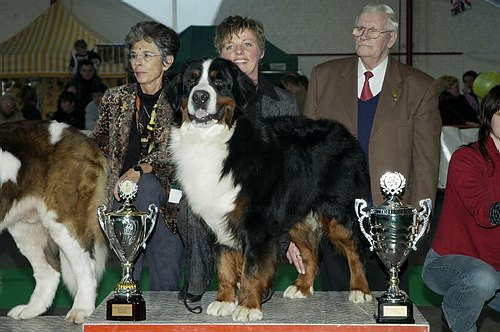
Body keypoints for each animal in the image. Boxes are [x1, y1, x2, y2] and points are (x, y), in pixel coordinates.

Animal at [0, 120, 108, 322]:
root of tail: (81, 136)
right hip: (26, 228)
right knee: (48, 273)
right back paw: (31, 309)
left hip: (64, 222)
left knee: (85, 268)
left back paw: (81, 309)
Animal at [170, 57, 374, 322]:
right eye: (191, 81)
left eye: (219, 82)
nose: (200, 96)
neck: (219, 141)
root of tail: (347, 134)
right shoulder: (221, 218)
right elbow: (225, 266)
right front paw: (224, 301)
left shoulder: (257, 222)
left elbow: (251, 269)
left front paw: (247, 306)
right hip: (297, 216)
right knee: (312, 253)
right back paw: (301, 287)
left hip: (338, 211)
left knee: (354, 249)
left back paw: (360, 289)